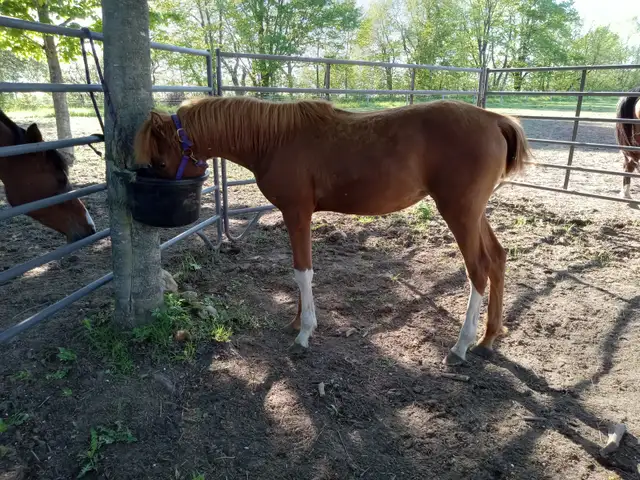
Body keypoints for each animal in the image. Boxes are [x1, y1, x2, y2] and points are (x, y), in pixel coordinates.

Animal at [134, 96, 530, 366]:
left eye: (160, 161)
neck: (273, 140)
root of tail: (495, 120)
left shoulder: (296, 213)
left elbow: (302, 272)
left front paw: (304, 333)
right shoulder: (298, 216)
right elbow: (299, 272)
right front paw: (297, 322)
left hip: (459, 212)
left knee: (478, 270)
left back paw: (461, 345)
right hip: (474, 213)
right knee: (497, 259)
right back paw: (488, 339)